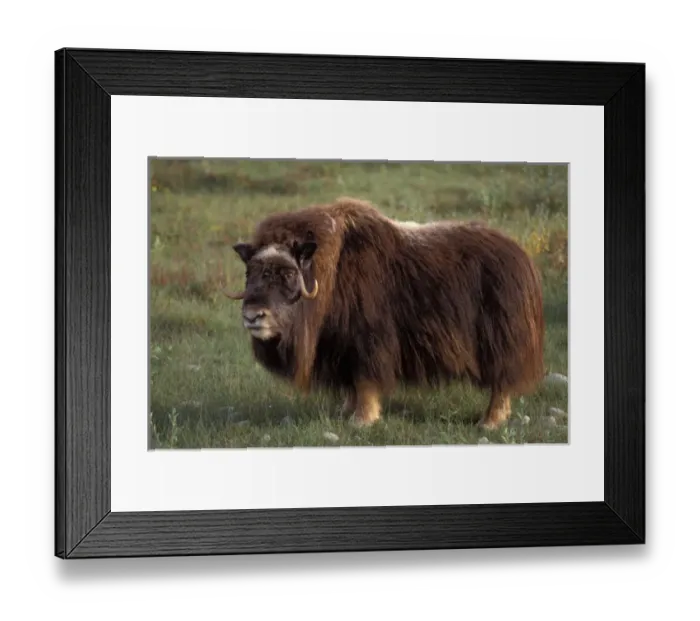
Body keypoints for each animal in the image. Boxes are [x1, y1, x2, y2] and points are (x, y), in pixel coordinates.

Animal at [224, 197, 545, 430]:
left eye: (288, 273)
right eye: (250, 273)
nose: (253, 316)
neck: (330, 273)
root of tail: (520, 254)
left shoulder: (368, 342)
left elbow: (365, 380)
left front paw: (362, 421)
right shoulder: (341, 347)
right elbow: (351, 385)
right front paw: (345, 412)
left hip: (500, 341)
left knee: (501, 381)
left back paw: (489, 422)